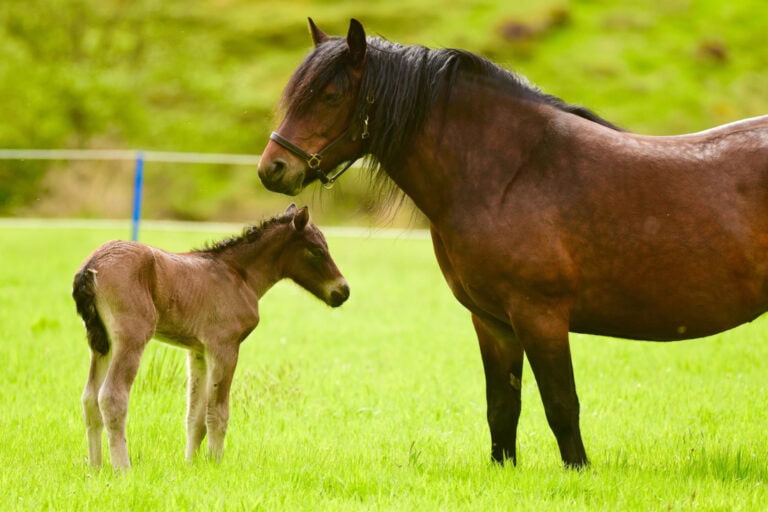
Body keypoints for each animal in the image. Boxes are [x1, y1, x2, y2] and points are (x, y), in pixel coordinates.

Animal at [73, 204, 349, 470]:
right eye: (316, 250)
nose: (343, 291)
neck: (239, 275)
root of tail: (92, 264)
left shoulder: (198, 351)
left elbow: (195, 416)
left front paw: (191, 465)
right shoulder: (224, 346)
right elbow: (218, 412)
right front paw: (215, 463)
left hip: (102, 345)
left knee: (89, 399)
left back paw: (96, 468)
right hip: (131, 338)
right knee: (112, 397)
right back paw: (123, 469)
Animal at [257, 19, 768, 468]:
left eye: (330, 95)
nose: (272, 169)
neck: (511, 173)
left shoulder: (540, 316)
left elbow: (562, 405)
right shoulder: (493, 322)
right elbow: (502, 408)